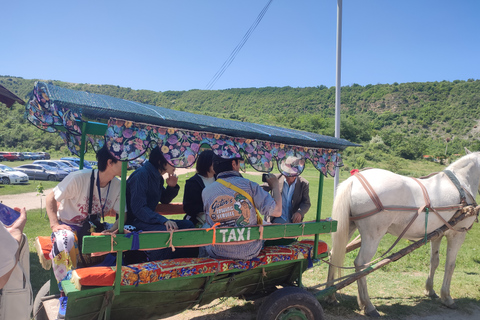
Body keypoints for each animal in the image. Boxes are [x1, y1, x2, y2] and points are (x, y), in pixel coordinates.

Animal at [326, 151, 480, 316]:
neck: (461, 185)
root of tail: (354, 180)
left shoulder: (437, 234)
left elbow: (435, 261)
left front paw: (430, 290)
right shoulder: (457, 234)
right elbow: (450, 265)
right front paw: (447, 297)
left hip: (349, 227)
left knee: (334, 254)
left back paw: (330, 295)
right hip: (372, 236)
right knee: (361, 264)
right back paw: (368, 305)